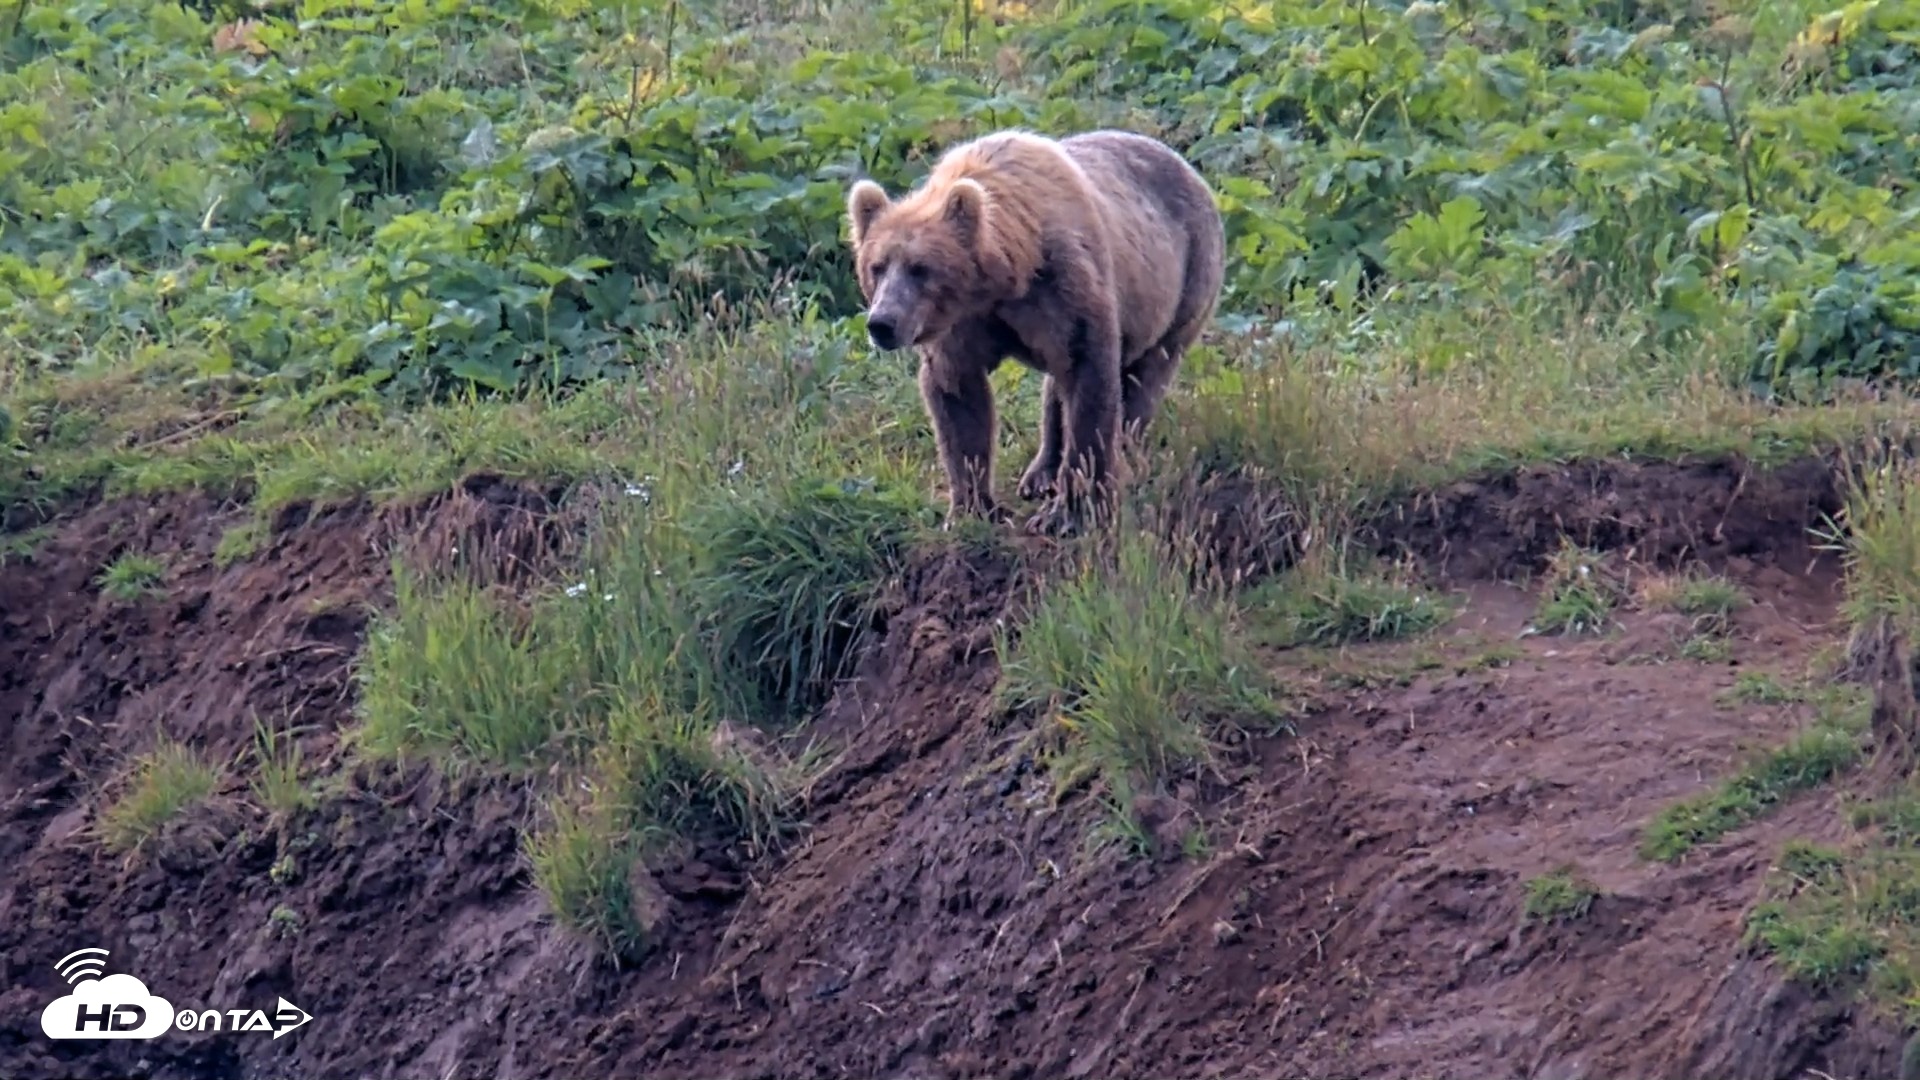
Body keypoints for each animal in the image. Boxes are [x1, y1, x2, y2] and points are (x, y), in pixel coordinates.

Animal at [844, 127, 1226, 537]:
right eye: (877, 266)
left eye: (920, 268)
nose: (882, 323)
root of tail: (1191, 170)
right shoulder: (963, 324)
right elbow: (959, 399)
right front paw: (971, 508)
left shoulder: (1064, 288)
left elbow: (1089, 384)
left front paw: (1070, 512)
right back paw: (1041, 473)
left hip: (1185, 284)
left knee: (1146, 377)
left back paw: (1120, 455)